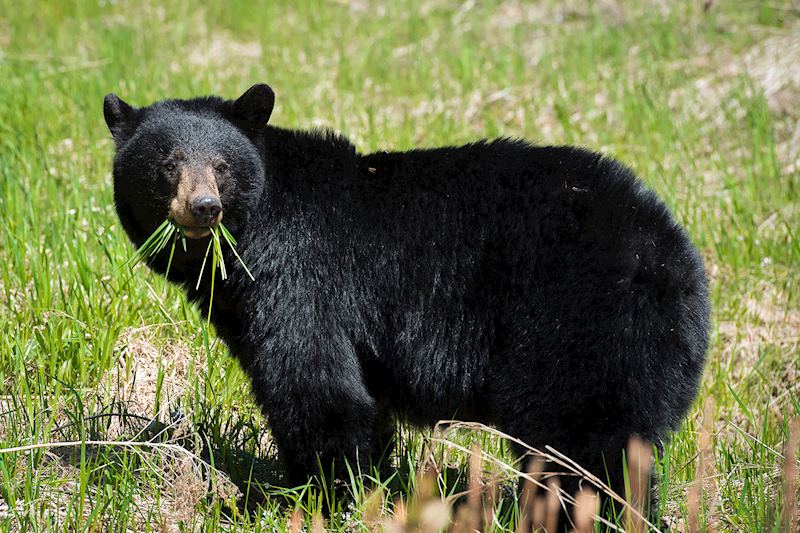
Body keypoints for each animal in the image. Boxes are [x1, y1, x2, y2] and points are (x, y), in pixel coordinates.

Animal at [103, 83, 710, 515]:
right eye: (167, 164)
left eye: (223, 167)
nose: (204, 207)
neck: (251, 237)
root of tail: (678, 261)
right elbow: (361, 401)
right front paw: (362, 485)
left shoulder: (301, 276)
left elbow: (315, 383)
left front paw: (309, 498)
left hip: (582, 325)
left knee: (581, 445)